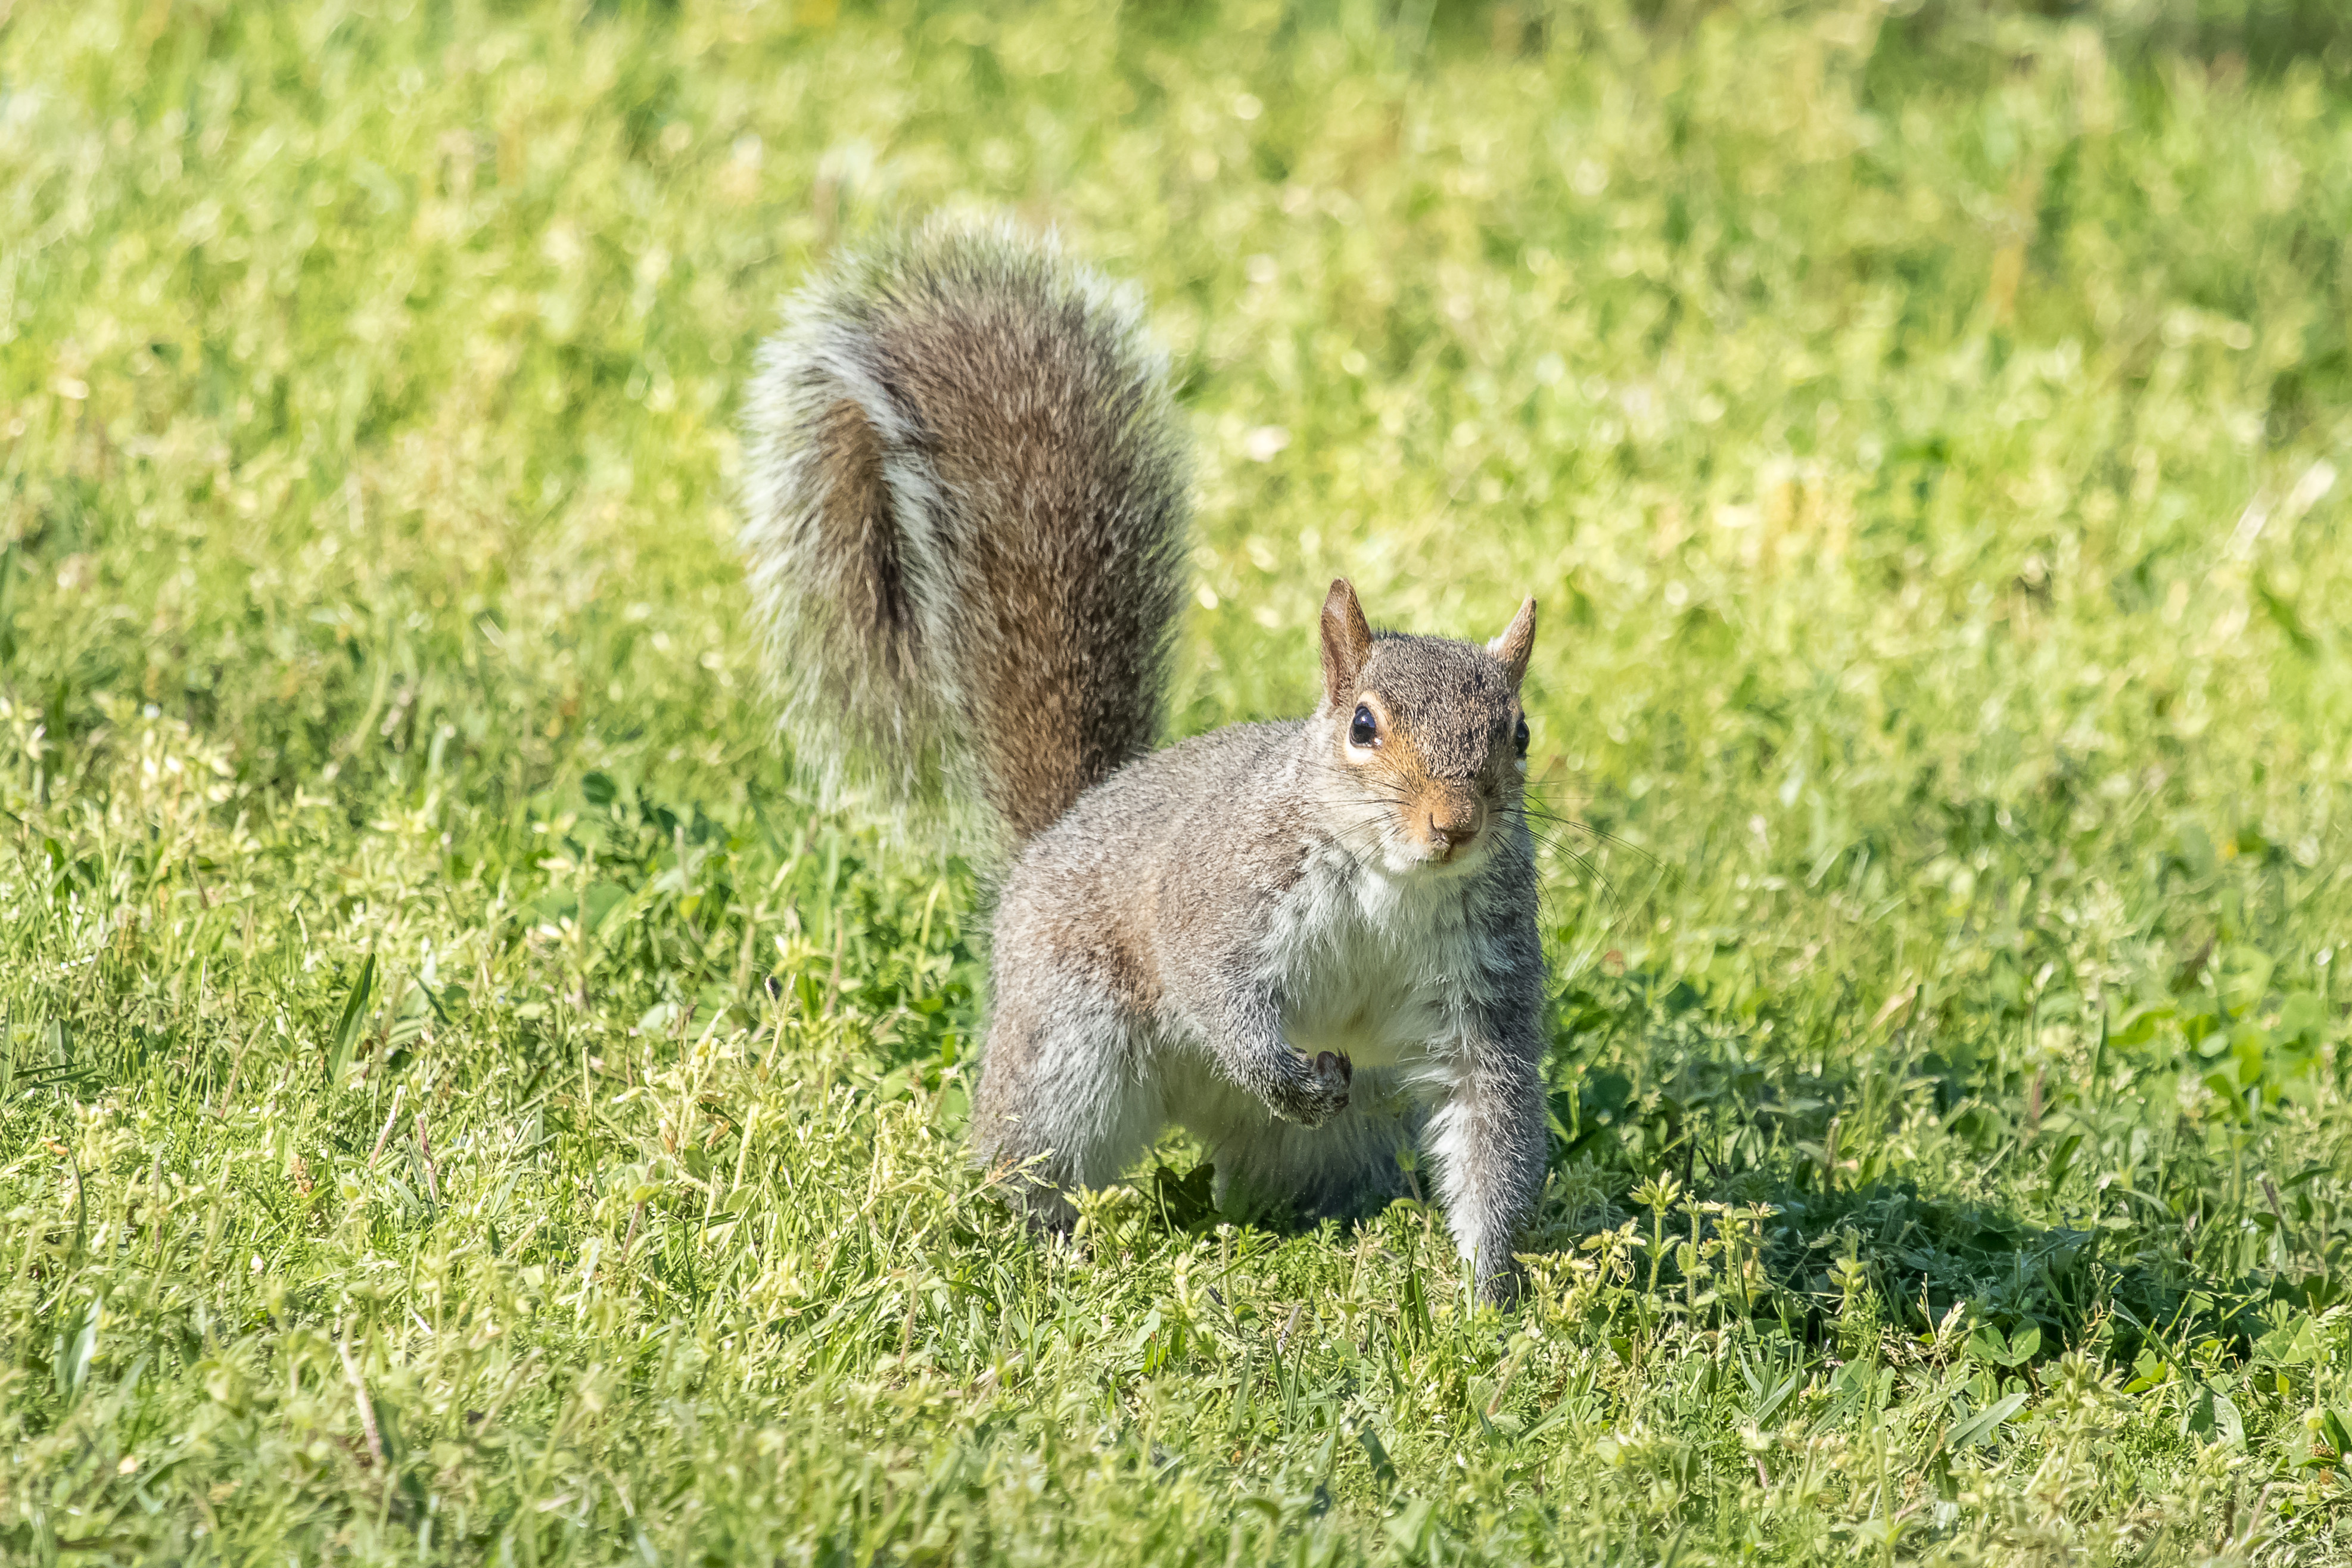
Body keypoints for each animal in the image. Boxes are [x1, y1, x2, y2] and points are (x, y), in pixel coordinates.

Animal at [733, 217, 1542, 1298]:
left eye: (1518, 734)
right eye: (1364, 726)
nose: (1454, 827)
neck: (1390, 880)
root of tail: (1060, 831)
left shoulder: (1482, 983)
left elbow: (1490, 1118)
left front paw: (1488, 1293)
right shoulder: (1224, 893)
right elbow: (1212, 988)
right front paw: (1286, 1072)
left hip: (1332, 1138)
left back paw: (1346, 1238)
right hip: (1070, 1045)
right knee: (1036, 1156)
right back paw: (1045, 1246)